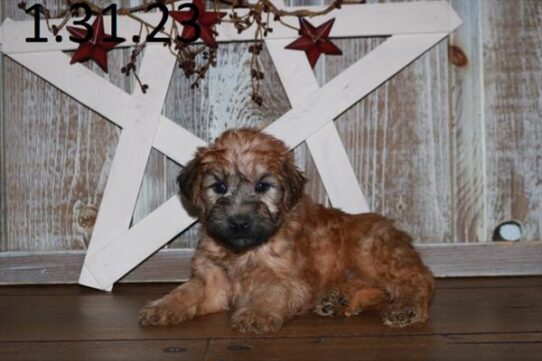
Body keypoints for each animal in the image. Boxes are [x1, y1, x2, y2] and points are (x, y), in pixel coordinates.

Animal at [140, 128, 438, 334]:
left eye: (262, 186)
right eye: (219, 188)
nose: (239, 222)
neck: (243, 252)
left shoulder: (288, 280)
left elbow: (271, 292)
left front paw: (256, 315)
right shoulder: (211, 281)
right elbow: (186, 292)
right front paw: (161, 307)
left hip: (371, 252)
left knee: (417, 280)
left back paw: (406, 309)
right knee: (381, 289)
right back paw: (340, 299)